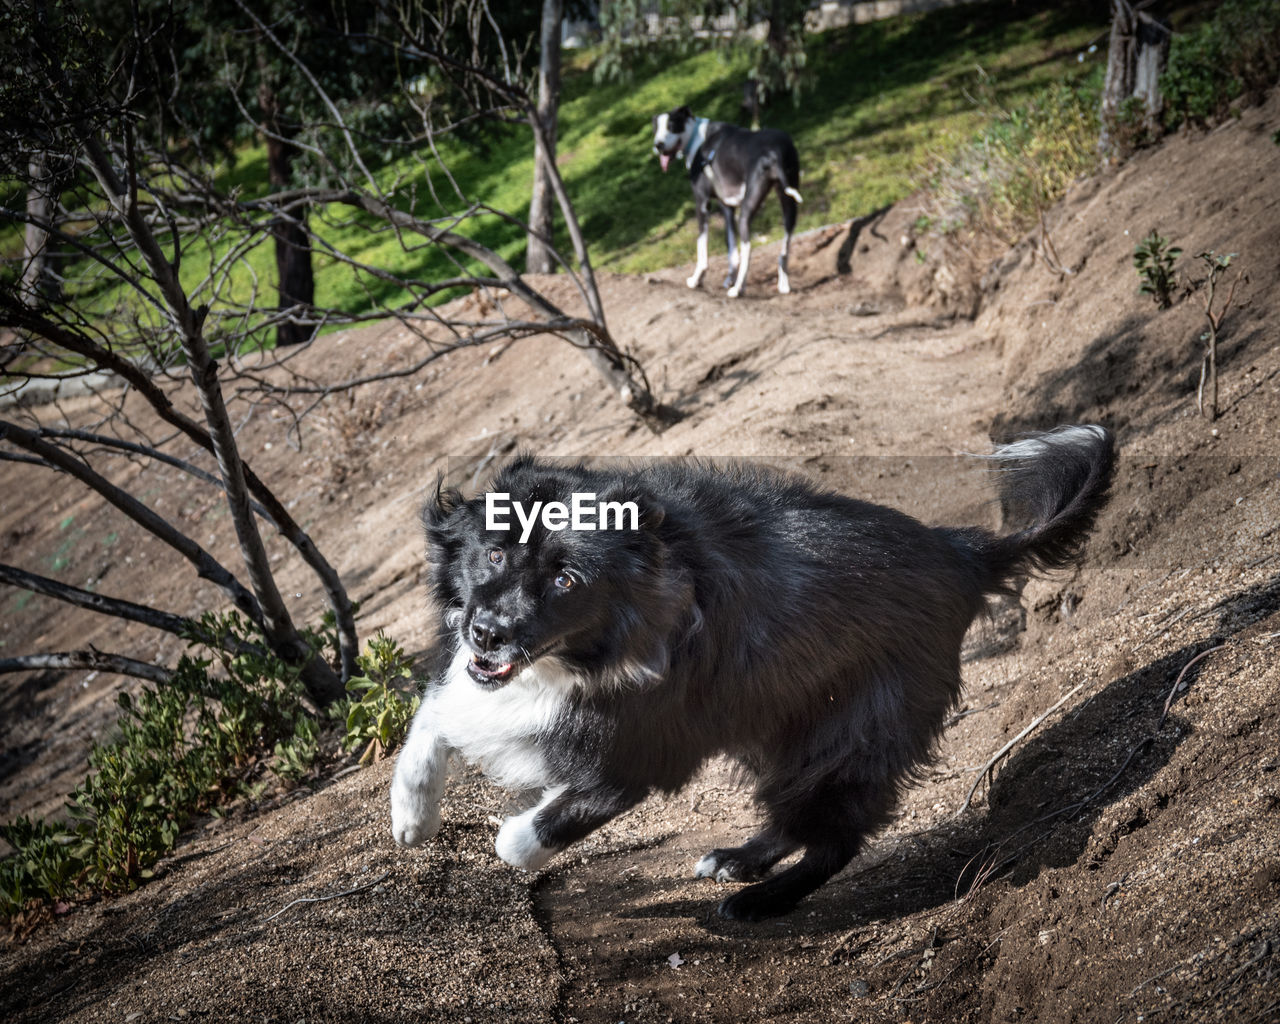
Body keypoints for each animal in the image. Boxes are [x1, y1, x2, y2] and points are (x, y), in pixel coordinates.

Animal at [386, 424, 1111, 921]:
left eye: (566, 580)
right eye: (494, 552)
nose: (488, 633)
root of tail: (964, 552)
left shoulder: (641, 756)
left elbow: (544, 823)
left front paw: (513, 835)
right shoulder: (475, 684)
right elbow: (433, 721)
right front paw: (412, 818)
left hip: (847, 734)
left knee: (834, 839)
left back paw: (762, 901)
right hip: (778, 724)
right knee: (796, 815)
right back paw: (738, 860)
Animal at [655, 103, 803, 295]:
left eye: (672, 126)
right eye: (656, 129)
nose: (658, 145)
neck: (697, 138)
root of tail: (774, 151)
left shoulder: (702, 204)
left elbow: (702, 248)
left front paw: (696, 279)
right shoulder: (726, 208)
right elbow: (732, 250)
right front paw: (728, 279)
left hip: (746, 212)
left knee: (748, 250)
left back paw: (738, 289)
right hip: (788, 204)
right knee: (784, 248)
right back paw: (783, 284)